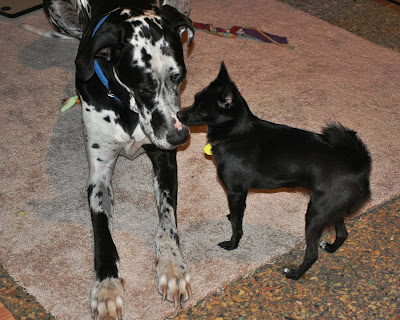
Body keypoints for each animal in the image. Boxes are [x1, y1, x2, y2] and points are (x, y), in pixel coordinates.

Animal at [178, 62, 372, 280]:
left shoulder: (235, 192)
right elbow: (239, 214)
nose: (177, 115)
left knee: (312, 254)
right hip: (331, 208)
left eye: (200, 108)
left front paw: (232, 244)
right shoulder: (241, 194)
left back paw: (294, 274)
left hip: (316, 214)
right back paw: (330, 247)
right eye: (195, 99)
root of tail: (359, 163)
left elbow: (237, 225)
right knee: (342, 233)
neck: (234, 133)